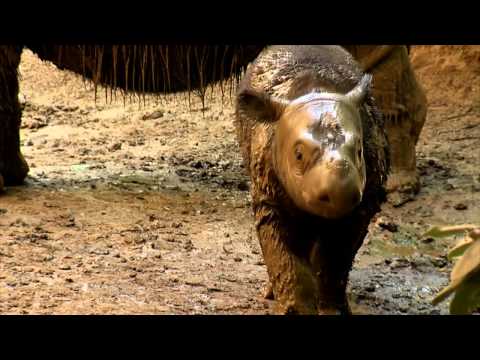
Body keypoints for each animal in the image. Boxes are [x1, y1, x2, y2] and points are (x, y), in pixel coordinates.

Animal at [236, 45, 390, 316]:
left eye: (359, 150)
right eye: (298, 155)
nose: (340, 194)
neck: (315, 89)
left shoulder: (363, 203)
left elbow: (336, 259)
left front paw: (333, 310)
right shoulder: (269, 196)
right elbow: (284, 254)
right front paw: (294, 309)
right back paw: (270, 293)